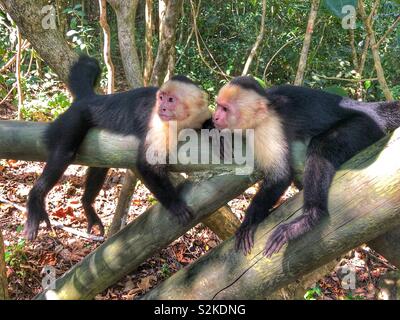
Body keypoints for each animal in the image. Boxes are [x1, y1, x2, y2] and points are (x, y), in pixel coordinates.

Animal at [24, 55, 212, 240]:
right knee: (64, 154)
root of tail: (91, 99)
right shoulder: (159, 125)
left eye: (171, 100)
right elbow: (147, 165)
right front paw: (175, 205)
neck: (183, 120)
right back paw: (35, 199)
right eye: (161, 98)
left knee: (101, 165)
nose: (162, 107)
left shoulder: (200, 113)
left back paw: (87, 203)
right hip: (74, 117)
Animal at [212, 77, 400, 258]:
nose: (215, 117)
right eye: (218, 105)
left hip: (364, 126)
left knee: (320, 148)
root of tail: (368, 108)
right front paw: (216, 132)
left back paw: (309, 217)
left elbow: (280, 176)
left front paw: (249, 222)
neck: (265, 108)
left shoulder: (268, 129)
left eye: (225, 109)